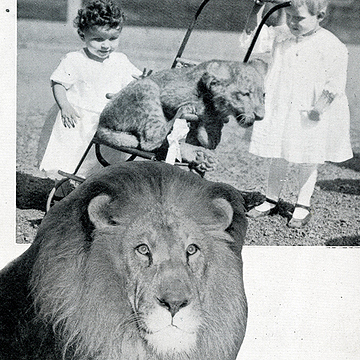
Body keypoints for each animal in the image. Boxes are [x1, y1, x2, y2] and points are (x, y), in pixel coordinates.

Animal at [97, 59, 266, 170]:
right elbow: (203, 108)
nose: (260, 116)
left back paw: (199, 156)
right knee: (151, 140)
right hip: (148, 86)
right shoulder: (169, 94)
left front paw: (209, 132)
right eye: (245, 94)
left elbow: (210, 136)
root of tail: (101, 124)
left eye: (263, 95)